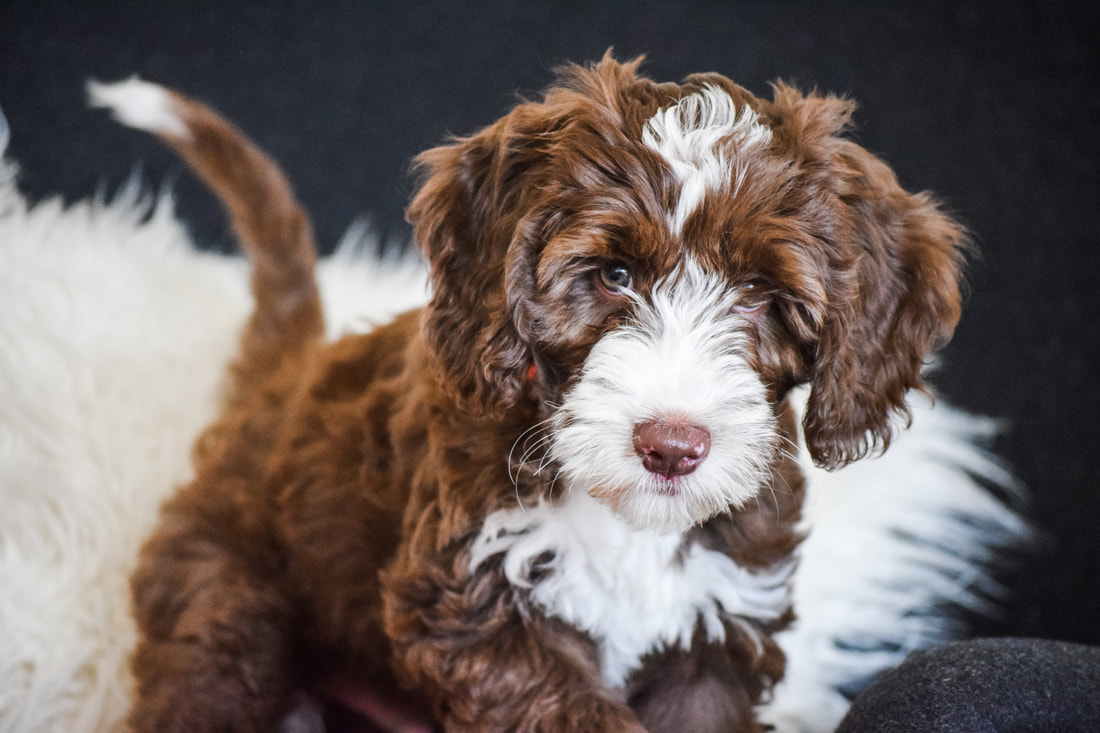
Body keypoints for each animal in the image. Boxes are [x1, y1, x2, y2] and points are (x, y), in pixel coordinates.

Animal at [99, 52, 968, 730]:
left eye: (759, 293)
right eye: (613, 274)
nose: (672, 446)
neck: (624, 522)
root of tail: (284, 380)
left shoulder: (717, 629)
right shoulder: (474, 603)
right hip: (226, 591)